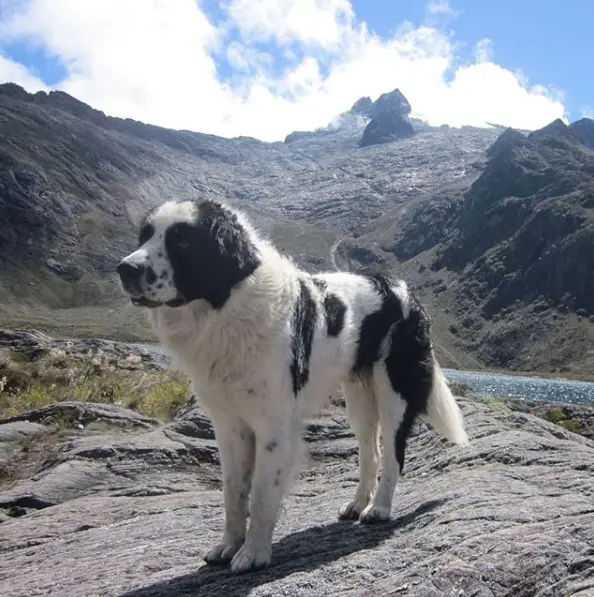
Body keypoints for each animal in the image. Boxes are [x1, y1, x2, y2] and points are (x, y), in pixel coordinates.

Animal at [115, 199, 468, 572]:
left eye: (182, 240)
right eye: (145, 235)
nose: (125, 269)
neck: (227, 307)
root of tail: (403, 289)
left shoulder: (273, 425)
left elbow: (262, 493)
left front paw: (253, 554)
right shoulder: (229, 425)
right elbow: (233, 492)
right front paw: (227, 547)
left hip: (393, 392)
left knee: (393, 453)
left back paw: (379, 509)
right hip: (359, 399)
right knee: (369, 452)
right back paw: (358, 504)